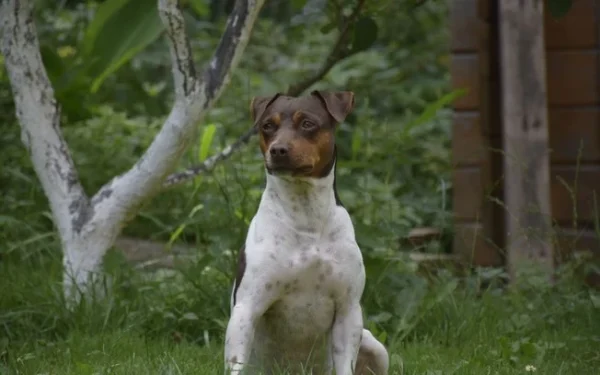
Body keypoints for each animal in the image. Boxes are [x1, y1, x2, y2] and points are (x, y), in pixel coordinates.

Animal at [224, 91, 390, 375]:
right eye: (267, 126)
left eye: (307, 124)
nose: (278, 150)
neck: (306, 216)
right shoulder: (246, 308)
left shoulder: (348, 311)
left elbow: (345, 363)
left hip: (375, 346)